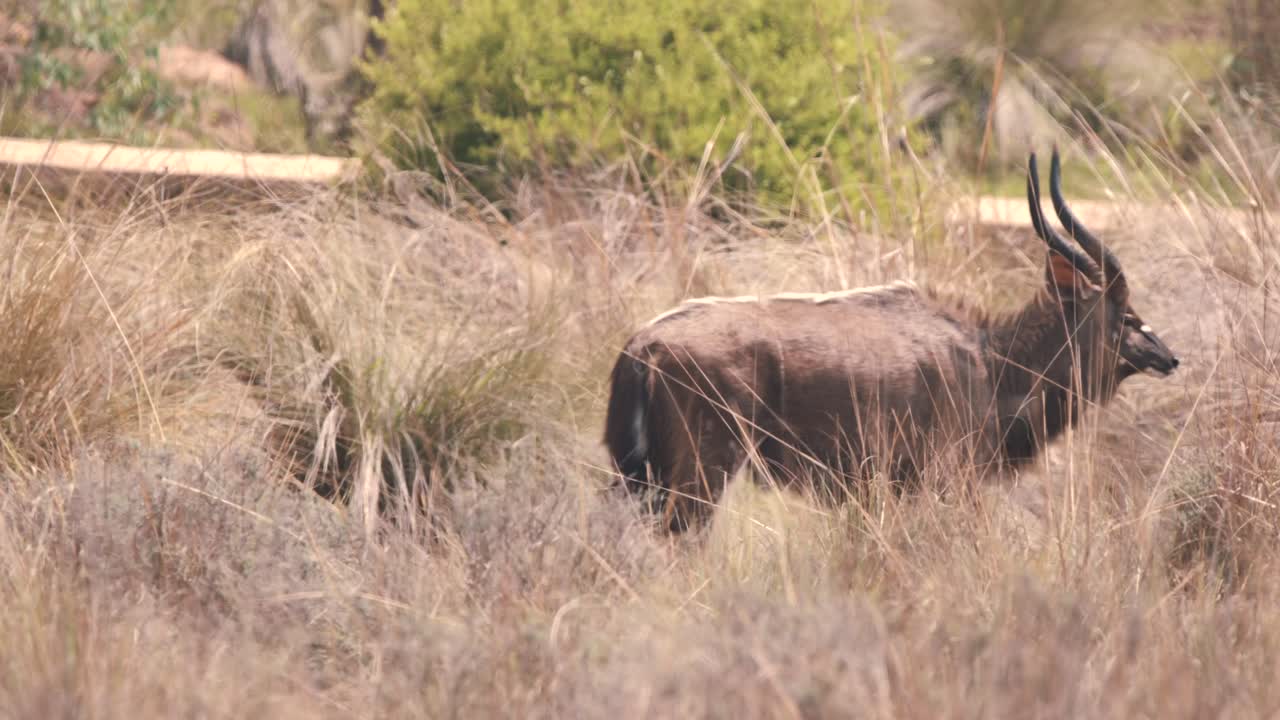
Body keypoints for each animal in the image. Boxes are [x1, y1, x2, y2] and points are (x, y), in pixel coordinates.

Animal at [603, 149, 1179, 532]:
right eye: (1126, 316)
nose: (1169, 357)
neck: (992, 361)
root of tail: (643, 347)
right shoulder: (948, 481)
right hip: (700, 478)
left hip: (641, 479)